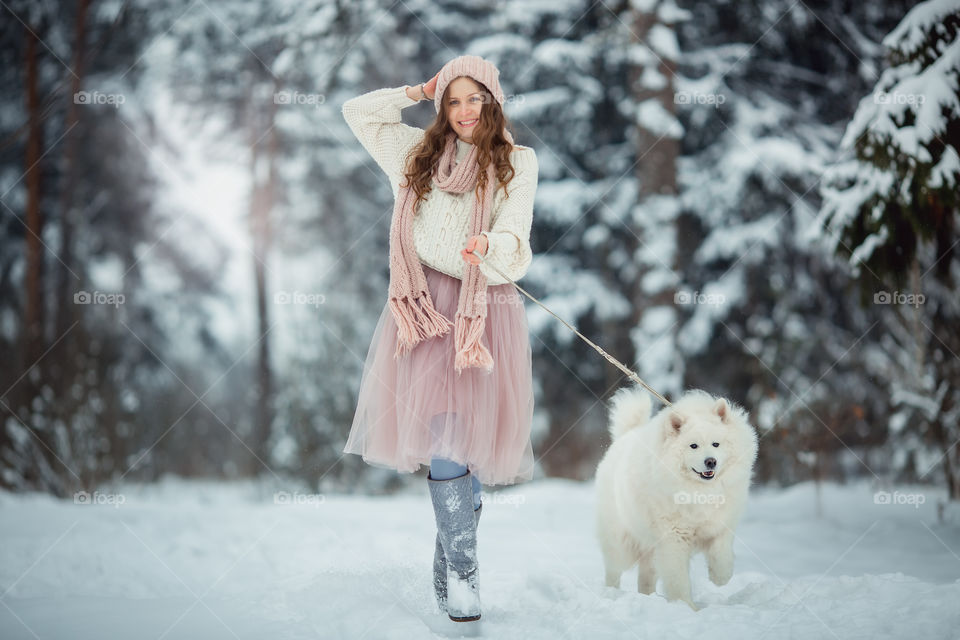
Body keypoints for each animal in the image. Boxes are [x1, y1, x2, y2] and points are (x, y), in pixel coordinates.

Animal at [592, 384, 756, 608]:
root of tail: (625, 436)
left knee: (646, 576)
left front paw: (720, 577)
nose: (711, 461)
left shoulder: (721, 523)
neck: (700, 491)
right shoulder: (673, 538)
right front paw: (687, 607)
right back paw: (612, 593)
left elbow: (722, 551)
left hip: (650, 548)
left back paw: (648, 597)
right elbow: (678, 579)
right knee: (613, 570)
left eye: (716, 444)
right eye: (693, 446)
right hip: (621, 542)